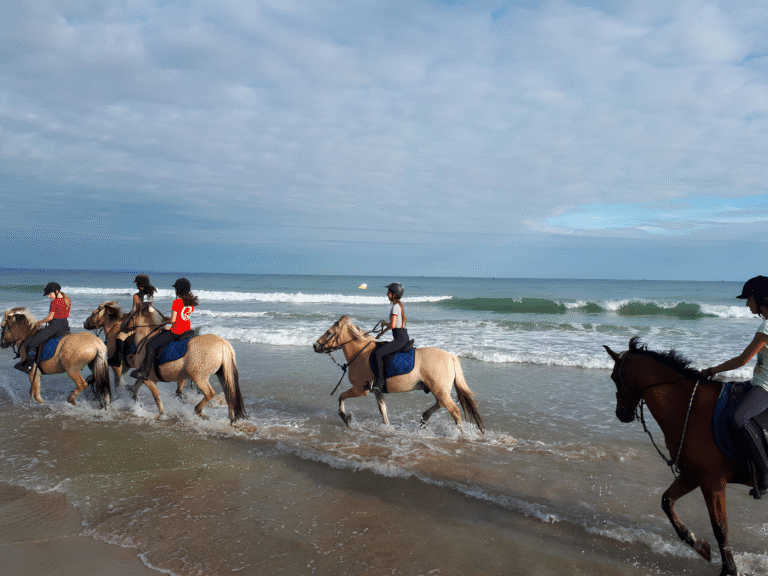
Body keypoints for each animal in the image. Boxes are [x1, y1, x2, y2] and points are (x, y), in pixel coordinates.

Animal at [313, 316, 484, 433]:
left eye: (328, 333)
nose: (315, 345)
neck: (360, 352)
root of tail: (450, 355)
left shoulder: (361, 390)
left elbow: (341, 397)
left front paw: (345, 417)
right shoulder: (377, 391)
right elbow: (383, 412)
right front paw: (387, 429)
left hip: (439, 390)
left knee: (454, 411)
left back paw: (459, 434)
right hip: (438, 390)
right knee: (441, 404)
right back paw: (425, 417)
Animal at [604, 336, 752, 576]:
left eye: (614, 377)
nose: (620, 414)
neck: (690, 410)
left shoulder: (712, 481)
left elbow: (720, 528)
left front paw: (729, 569)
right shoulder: (693, 475)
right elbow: (667, 501)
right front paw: (700, 545)